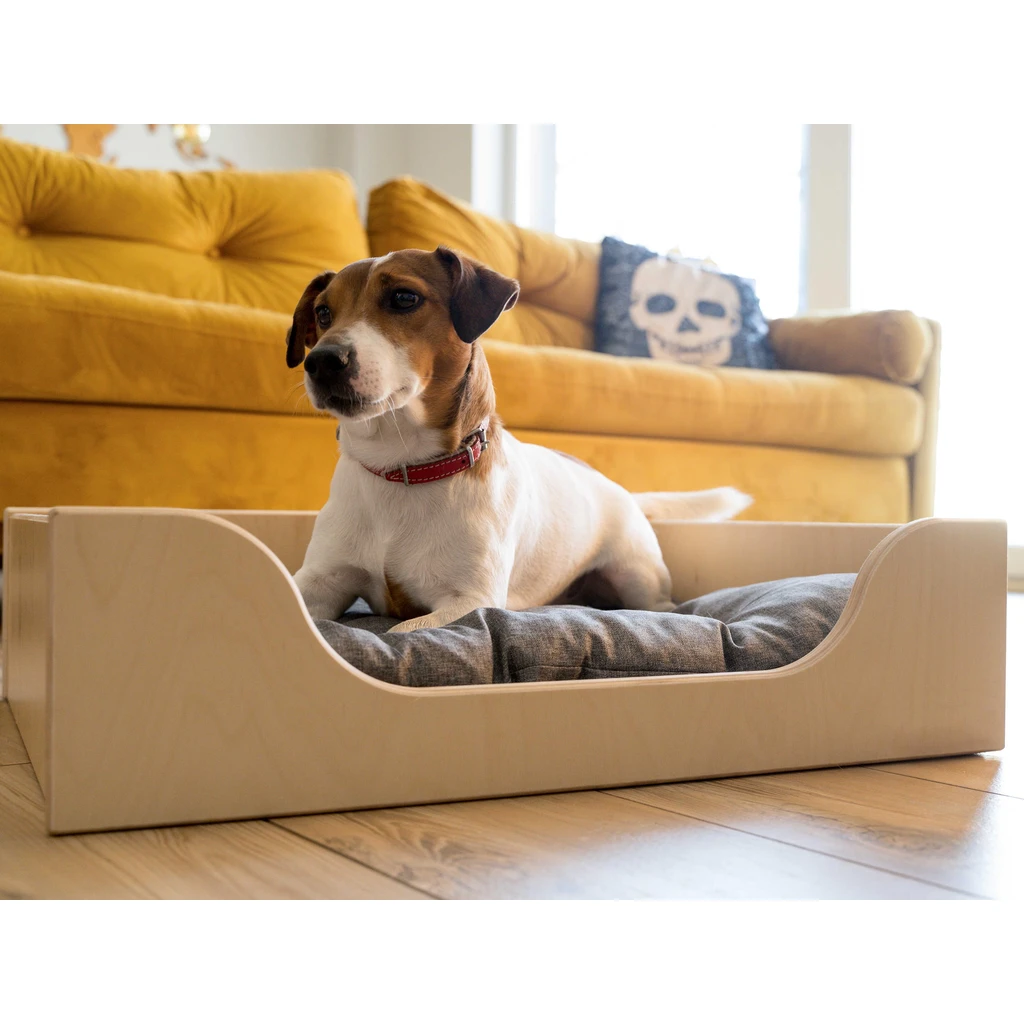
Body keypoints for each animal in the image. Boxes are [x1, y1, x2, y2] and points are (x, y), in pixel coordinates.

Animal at [287, 246, 752, 632]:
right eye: (324, 313)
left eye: (404, 298)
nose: (321, 361)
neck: (403, 467)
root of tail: (620, 489)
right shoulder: (319, 581)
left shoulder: (468, 599)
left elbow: (403, 631)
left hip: (636, 575)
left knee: (664, 605)